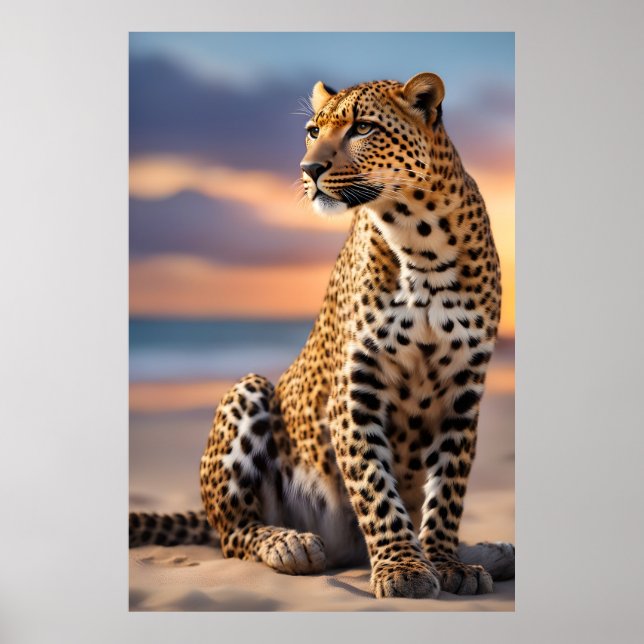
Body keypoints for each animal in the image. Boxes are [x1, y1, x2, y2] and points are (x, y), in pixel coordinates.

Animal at [129, 73, 515, 599]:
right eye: (314, 131)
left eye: (363, 128)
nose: (308, 169)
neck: (422, 244)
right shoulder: (354, 389)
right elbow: (375, 487)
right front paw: (404, 568)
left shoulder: (463, 392)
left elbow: (448, 491)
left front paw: (444, 561)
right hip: (249, 392)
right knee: (234, 533)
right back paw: (288, 543)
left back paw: (492, 551)